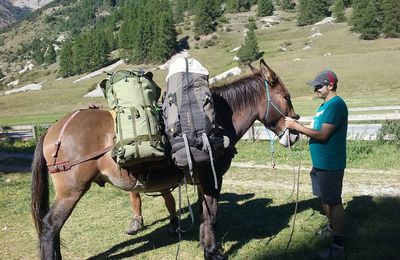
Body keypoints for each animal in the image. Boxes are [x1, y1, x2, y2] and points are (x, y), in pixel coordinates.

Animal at [32, 58, 300, 258]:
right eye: (286, 97)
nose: (295, 133)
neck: (217, 121)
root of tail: (53, 129)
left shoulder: (201, 179)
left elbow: (204, 213)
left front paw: (205, 245)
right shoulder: (212, 178)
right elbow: (212, 213)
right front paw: (213, 252)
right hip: (71, 191)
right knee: (49, 226)